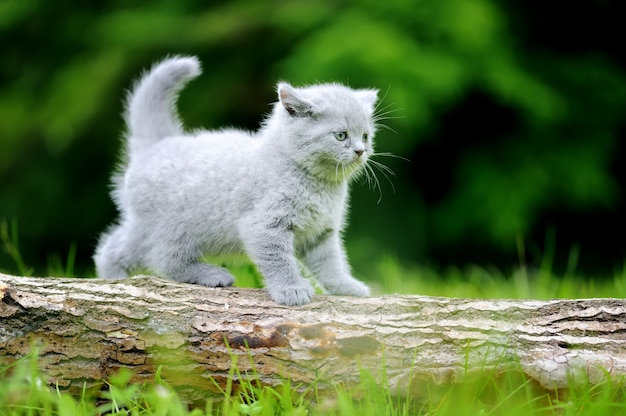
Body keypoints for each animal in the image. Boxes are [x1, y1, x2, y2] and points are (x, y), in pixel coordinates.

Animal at [92, 56, 376, 306]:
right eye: (340, 135)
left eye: (365, 136)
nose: (360, 151)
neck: (318, 183)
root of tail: (159, 144)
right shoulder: (263, 225)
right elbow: (278, 260)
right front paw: (291, 289)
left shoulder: (321, 232)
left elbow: (330, 262)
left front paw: (346, 286)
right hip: (177, 223)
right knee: (164, 257)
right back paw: (210, 274)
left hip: (144, 225)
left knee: (116, 245)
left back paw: (113, 279)